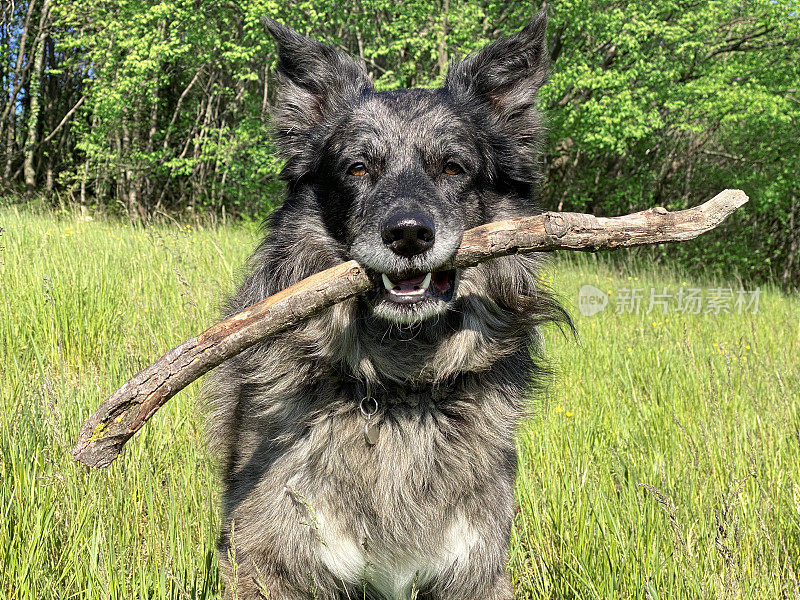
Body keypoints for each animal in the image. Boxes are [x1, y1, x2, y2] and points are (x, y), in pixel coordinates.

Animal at [206, 12, 568, 600]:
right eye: (358, 169)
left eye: (453, 168)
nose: (409, 234)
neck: (399, 392)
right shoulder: (266, 554)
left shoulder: (475, 564)